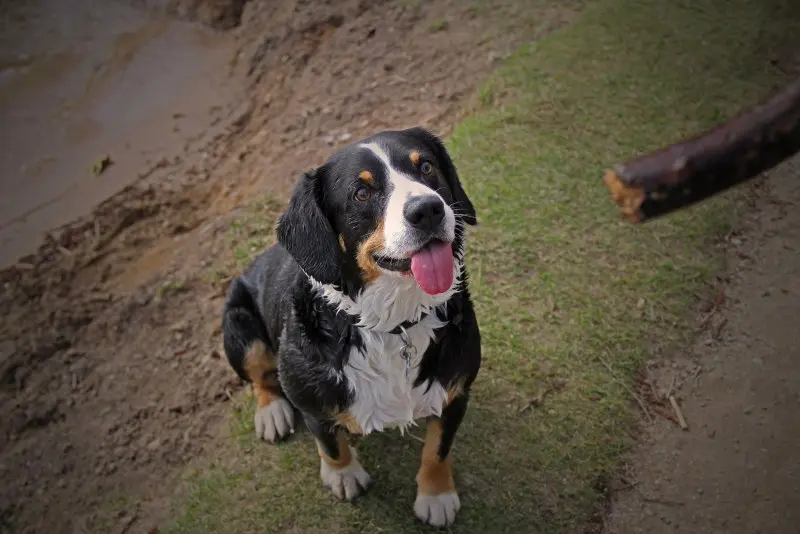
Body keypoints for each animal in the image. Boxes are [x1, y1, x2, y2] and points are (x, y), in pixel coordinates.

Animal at [220, 126, 482, 528]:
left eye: (426, 167)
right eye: (362, 192)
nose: (428, 210)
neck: (394, 324)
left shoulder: (455, 389)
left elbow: (438, 449)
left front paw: (436, 495)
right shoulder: (311, 399)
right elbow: (330, 442)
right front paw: (343, 475)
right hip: (237, 324)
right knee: (260, 377)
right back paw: (271, 413)